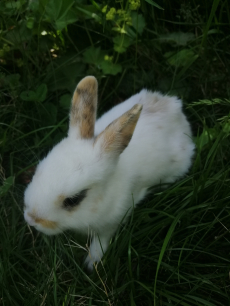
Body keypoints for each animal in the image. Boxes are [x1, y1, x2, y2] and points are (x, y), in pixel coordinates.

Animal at [23, 76, 194, 270]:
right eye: (37, 171)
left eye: (73, 200)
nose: (30, 219)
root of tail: (174, 107)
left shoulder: (113, 221)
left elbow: (101, 240)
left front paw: (92, 262)